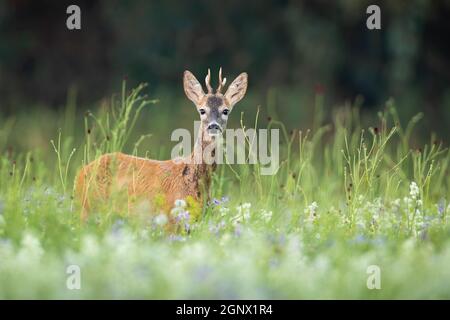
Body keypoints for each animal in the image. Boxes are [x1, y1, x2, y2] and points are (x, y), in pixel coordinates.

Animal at [75, 68, 248, 222]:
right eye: (202, 110)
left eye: (225, 110)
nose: (213, 126)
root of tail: (80, 173)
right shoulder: (169, 218)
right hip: (87, 207)